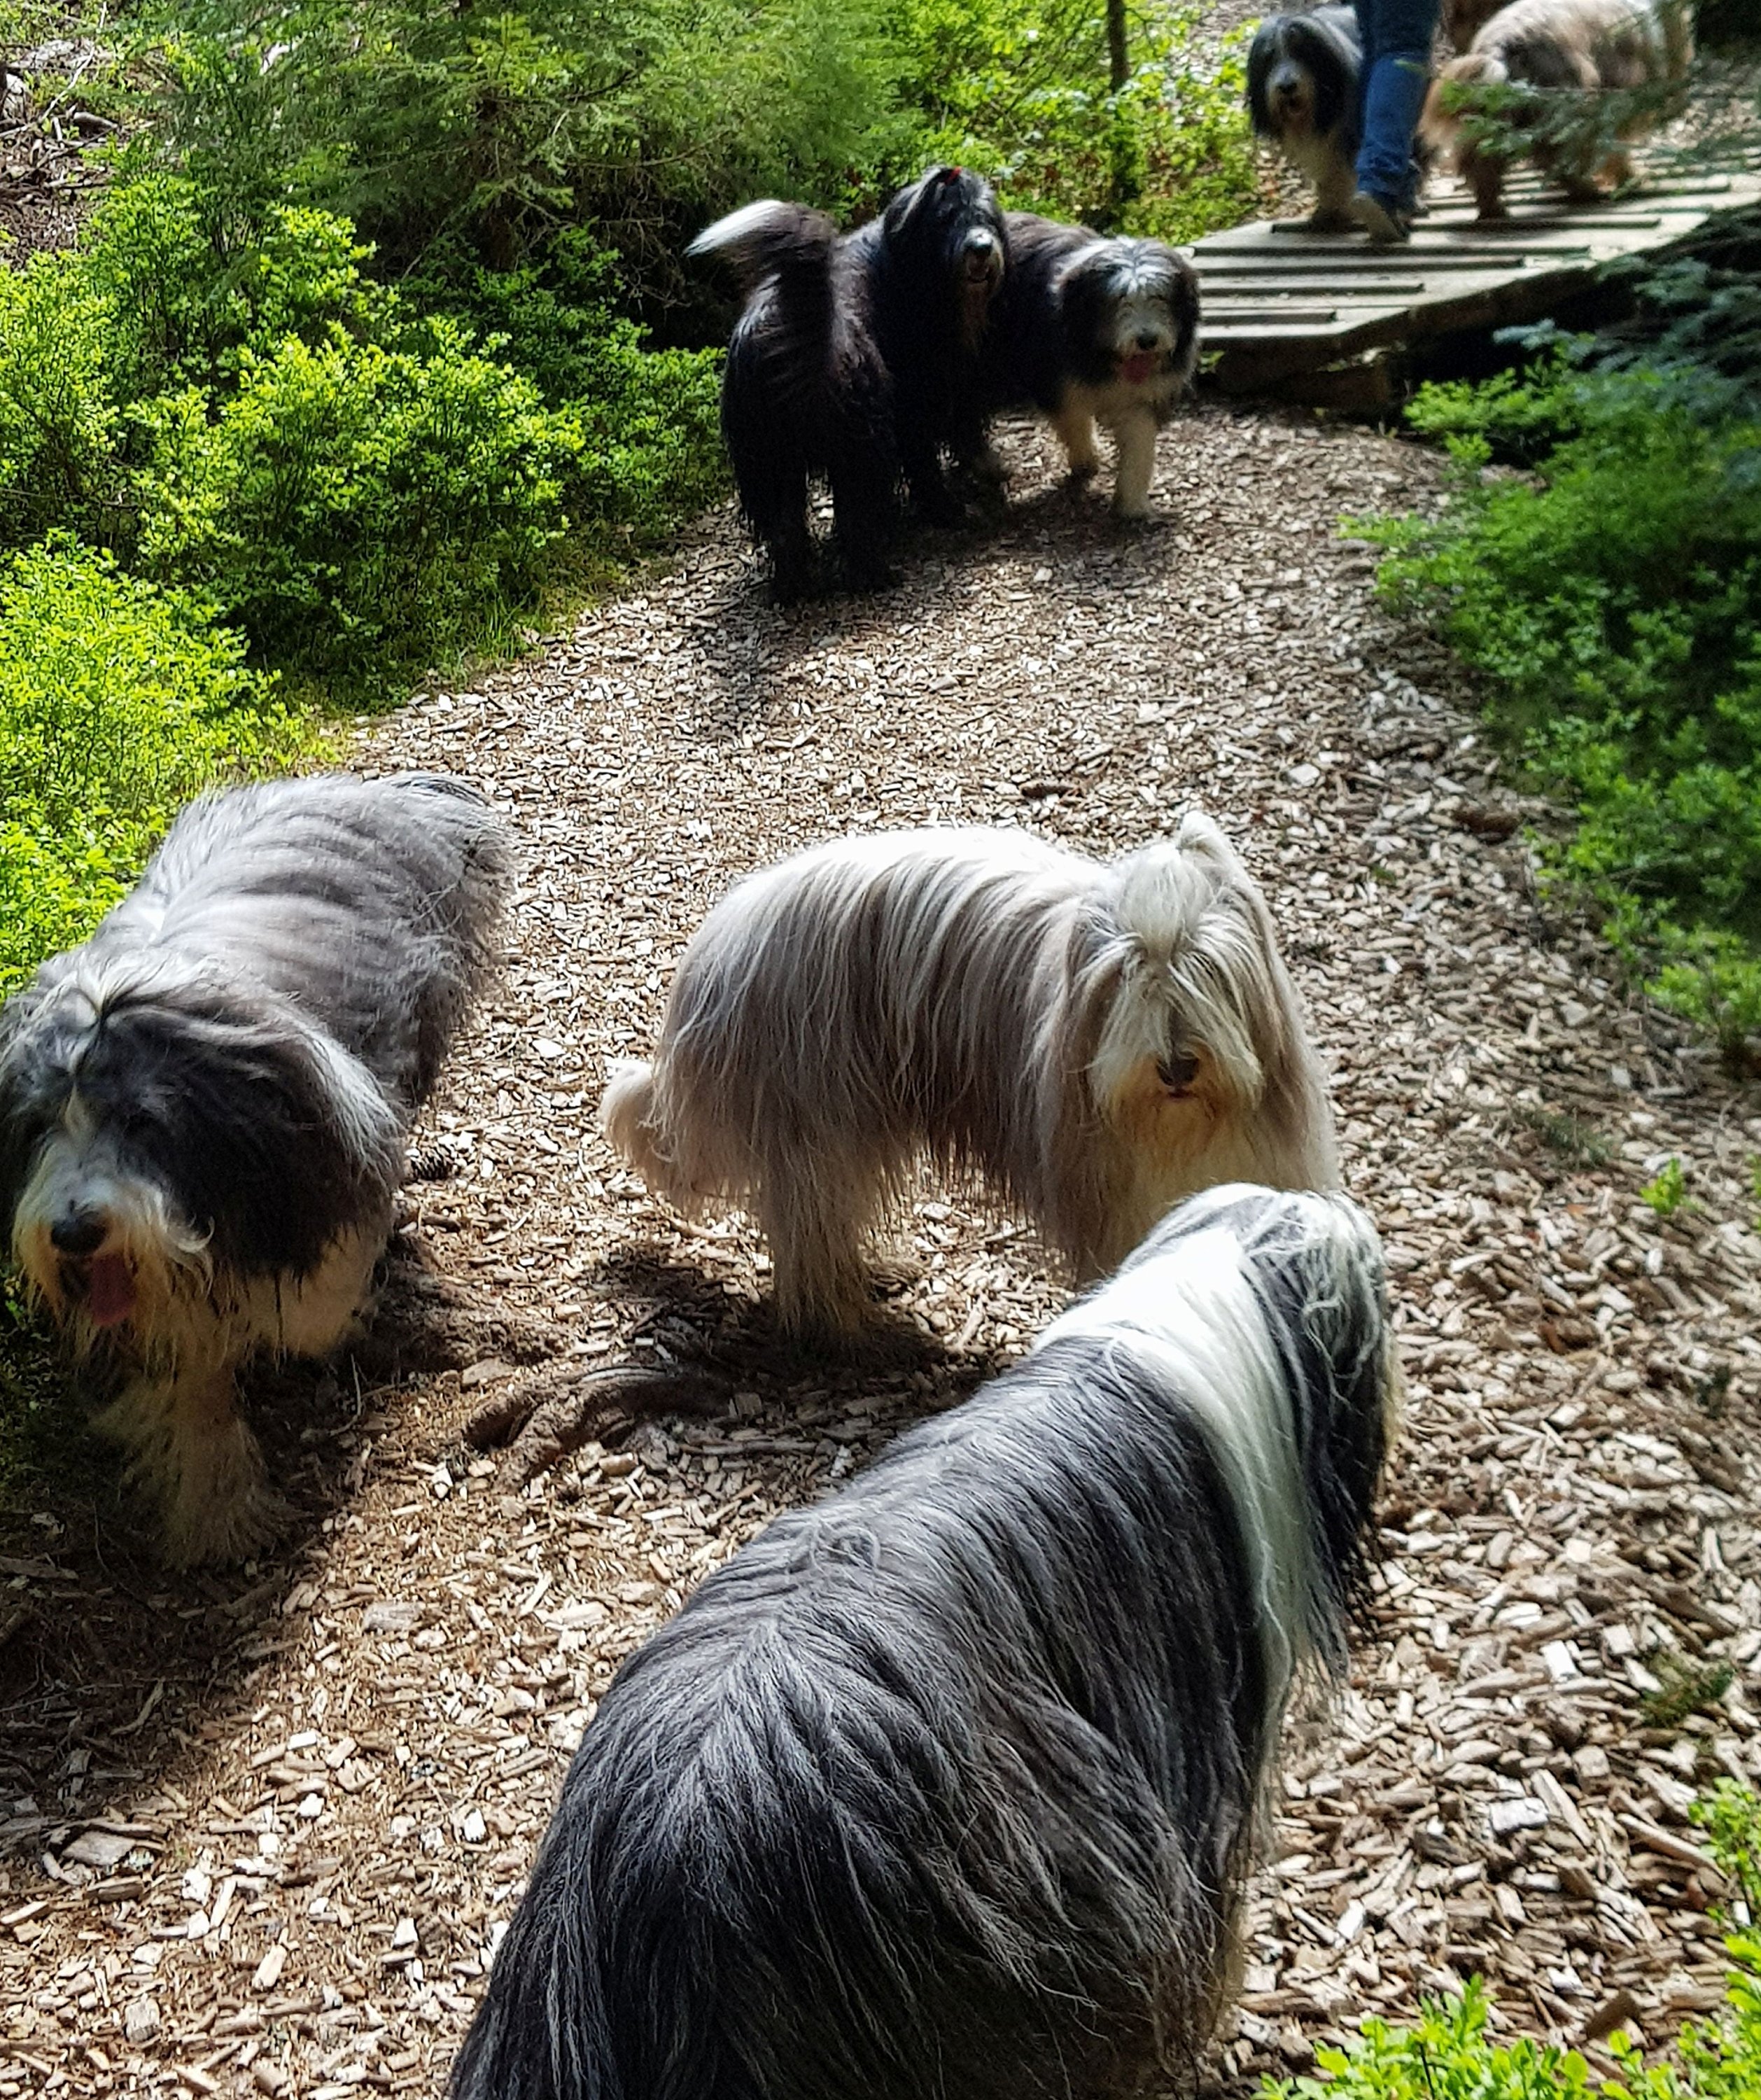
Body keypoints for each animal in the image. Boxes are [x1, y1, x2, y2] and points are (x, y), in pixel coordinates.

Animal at [0, 772, 511, 1564]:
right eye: (37, 1126)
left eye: (141, 1121)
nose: (76, 1232)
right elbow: (188, 1364)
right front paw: (218, 1505)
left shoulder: (323, 1151)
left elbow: (315, 1303)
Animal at [600, 815, 1337, 1334]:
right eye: (1125, 977)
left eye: (1205, 968)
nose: (1178, 1064)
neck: (1178, 1128)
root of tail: (720, 941)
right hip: (818, 1116)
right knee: (810, 1228)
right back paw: (844, 1324)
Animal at [688, 166, 1006, 599]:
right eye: (946, 218)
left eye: (985, 216)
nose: (981, 247)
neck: (904, 266)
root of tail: (798, 314)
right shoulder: (917, 405)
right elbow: (930, 462)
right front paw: (951, 504)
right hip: (861, 441)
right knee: (858, 510)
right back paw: (874, 573)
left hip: (768, 457)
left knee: (786, 525)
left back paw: (795, 586)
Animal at [982, 217, 1201, 520]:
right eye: (1121, 298)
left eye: (1159, 297)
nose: (1147, 340)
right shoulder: (1056, 380)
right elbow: (1074, 420)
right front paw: (1085, 461)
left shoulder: (1141, 398)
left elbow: (1139, 445)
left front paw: (1132, 503)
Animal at [1421, 0, 1693, 220]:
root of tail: (1501, 47)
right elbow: (1614, 150)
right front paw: (1631, 178)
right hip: (1574, 103)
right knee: (1563, 157)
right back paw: (1588, 190)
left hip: (1489, 118)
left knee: (1482, 163)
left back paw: (1493, 209)